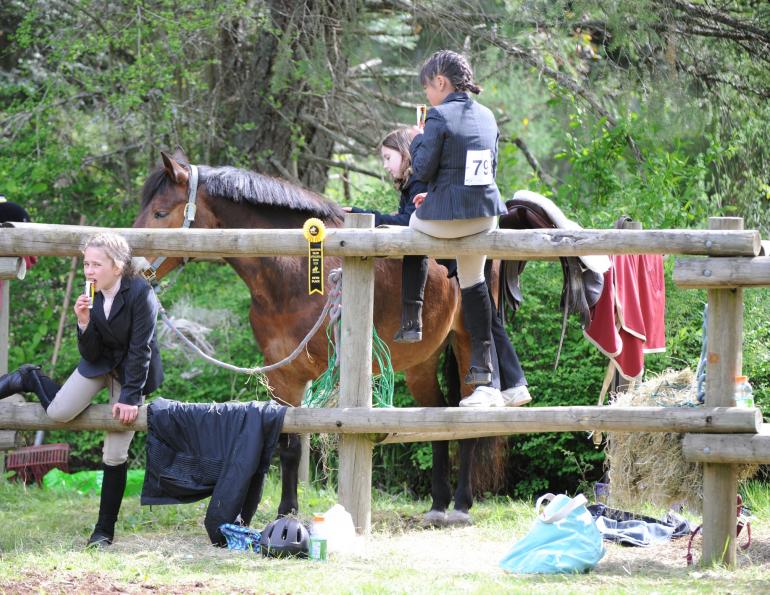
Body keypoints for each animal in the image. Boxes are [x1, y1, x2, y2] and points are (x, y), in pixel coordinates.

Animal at [133, 149, 487, 525]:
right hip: (421, 363)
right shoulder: (283, 374)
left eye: (160, 212)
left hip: (466, 345)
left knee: (469, 423)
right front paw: (286, 512)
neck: (295, 273)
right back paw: (438, 503)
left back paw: (461, 505)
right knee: (439, 416)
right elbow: (290, 444)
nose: (131, 264)